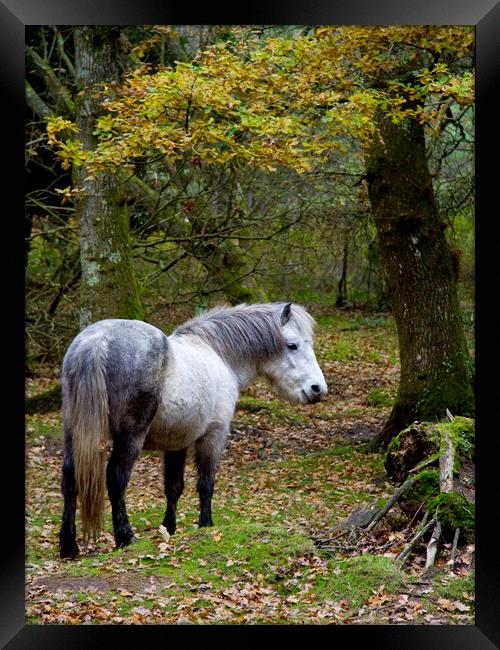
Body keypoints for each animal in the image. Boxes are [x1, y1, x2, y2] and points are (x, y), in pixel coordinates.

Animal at [58, 302, 328, 556]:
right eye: (292, 345)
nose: (318, 389)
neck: (219, 354)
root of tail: (96, 341)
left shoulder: (177, 444)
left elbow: (174, 487)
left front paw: (169, 528)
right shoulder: (214, 436)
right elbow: (206, 484)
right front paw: (206, 524)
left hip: (74, 433)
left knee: (70, 477)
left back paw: (69, 545)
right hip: (130, 437)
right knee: (116, 477)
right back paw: (125, 537)